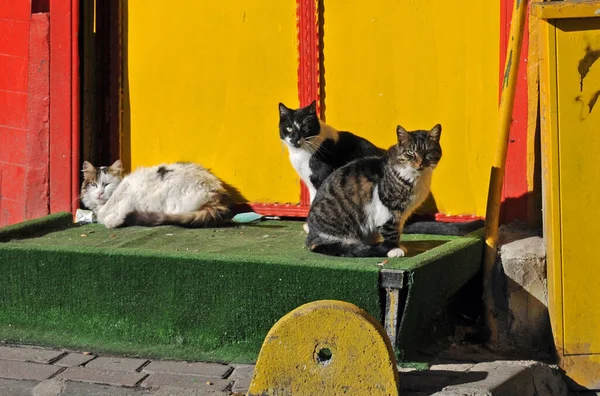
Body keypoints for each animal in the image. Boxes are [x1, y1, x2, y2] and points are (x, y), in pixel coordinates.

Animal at [79, 159, 230, 229]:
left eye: (106, 184)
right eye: (93, 184)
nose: (99, 193)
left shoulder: (131, 198)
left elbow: (119, 211)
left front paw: (114, 221)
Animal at [304, 124, 440, 260]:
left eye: (428, 152)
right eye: (410, 152)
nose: (420, 163)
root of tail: (311, 237)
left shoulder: (401, 215)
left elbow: (398, 229)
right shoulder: (387, 210)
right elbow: (391, 231)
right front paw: (393, 249)